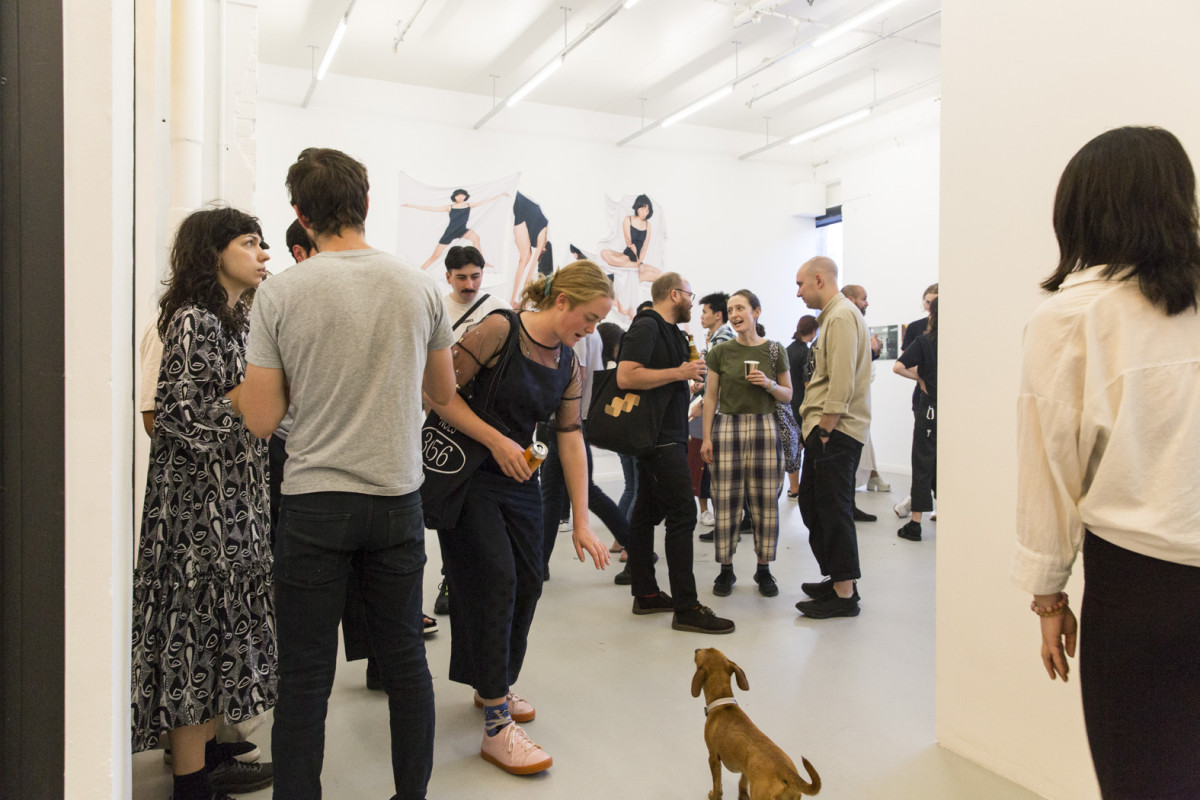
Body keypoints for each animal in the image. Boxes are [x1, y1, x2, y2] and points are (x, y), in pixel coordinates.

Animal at [691, 648, 821, 800]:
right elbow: (742, 782)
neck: (723, 704)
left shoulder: (713, 757)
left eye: (701, 652)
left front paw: (714, 795)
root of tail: (785, 771)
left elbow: (717, 784)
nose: (696, 649)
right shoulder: (744, 768)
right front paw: (742, 794)